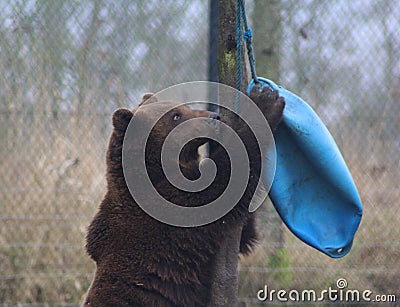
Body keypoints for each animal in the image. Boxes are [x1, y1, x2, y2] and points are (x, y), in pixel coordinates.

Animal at [83, 88, 284, 306]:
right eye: (176, 116)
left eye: (185, 107)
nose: (213, 117)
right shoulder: (166, 213)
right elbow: (223, 188)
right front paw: (265, 101)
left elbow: (243, 233)